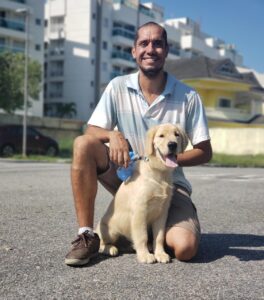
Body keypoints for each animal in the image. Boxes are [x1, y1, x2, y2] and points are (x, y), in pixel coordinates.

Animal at [96, 123, 189, 264]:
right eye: (161, 136)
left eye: (176, 134)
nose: (172, 144)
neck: (159, 173)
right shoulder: (140, 211)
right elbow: (142, 236)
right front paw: (145, 255)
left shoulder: (162, 212)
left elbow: (159, 236)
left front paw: (160, 253)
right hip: (110, 230)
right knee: (101, 242)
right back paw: (110, 248)